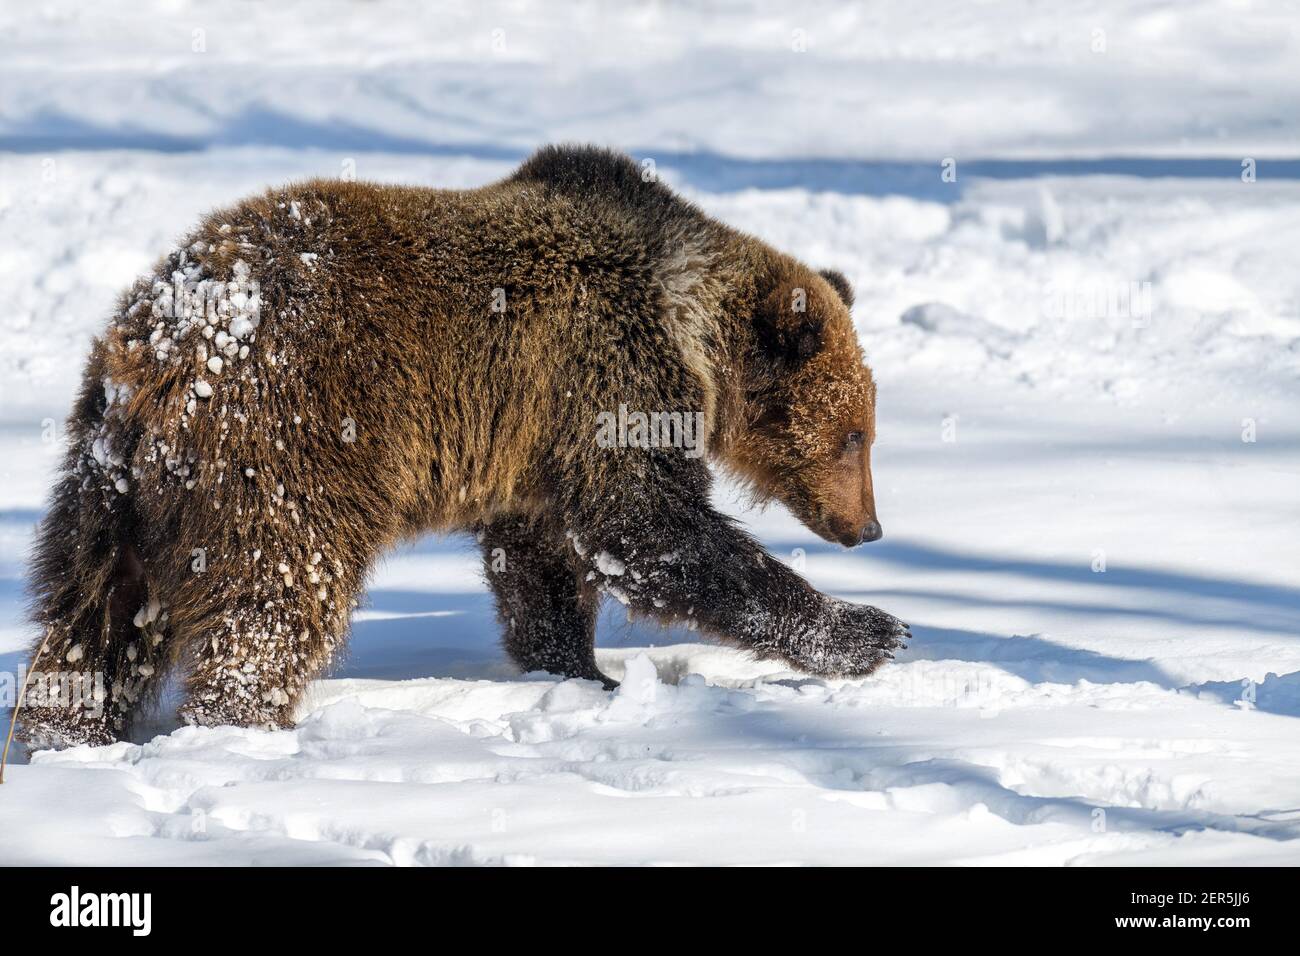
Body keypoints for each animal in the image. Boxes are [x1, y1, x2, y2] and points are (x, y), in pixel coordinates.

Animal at [20, 143, 909, 749]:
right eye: (853, 436)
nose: (869, 527)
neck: (688, 324)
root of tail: (160, 342)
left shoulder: (539, 442)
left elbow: (543, 566)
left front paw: (578, 672)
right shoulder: (609, 377)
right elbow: (649, 530)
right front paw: (870, 630)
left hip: (112, 484)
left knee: (93, 612)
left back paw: (65, 732)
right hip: (285, 443)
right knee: (277, 594)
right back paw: (247, 727)